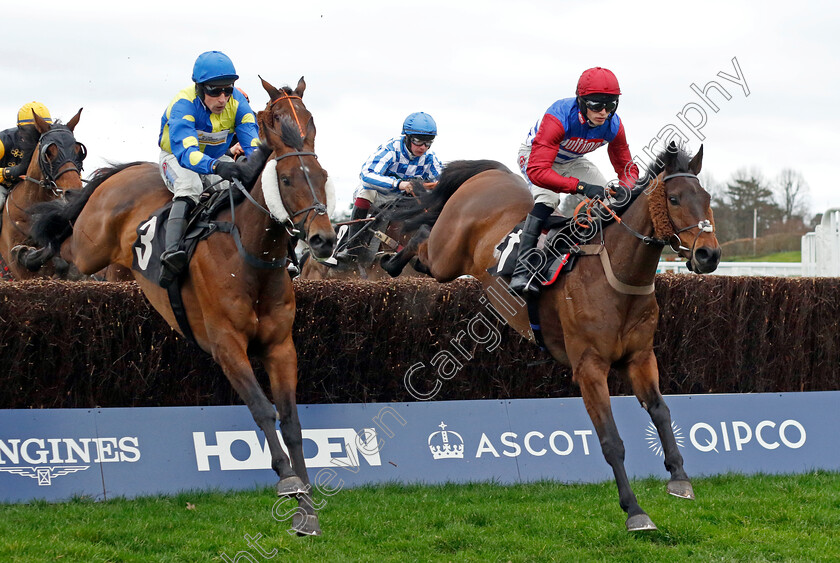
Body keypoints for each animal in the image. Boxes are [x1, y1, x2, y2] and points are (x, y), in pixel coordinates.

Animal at [18, 77, 334, 536]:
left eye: (323, 177)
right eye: (289, 179)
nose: (324, 239)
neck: (251, 253)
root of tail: (126, 171)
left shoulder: (280, 347)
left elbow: (292, 422)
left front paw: (306, 510)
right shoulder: (226, 345)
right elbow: (262, 409)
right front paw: (288, 482)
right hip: (91, 250)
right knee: (63, 238)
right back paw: (30, 253)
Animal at [386, 143, 720, 532]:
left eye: (707, 198)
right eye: (674, 198)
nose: (709, 254)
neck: (617, 276)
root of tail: (493, 173)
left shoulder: (640, 357)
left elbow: (661, 412)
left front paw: (679, 477)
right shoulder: (589, 368)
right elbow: (611, 441)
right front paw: (635, 511)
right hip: (445, 258)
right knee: (423, 235)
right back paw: (391, 262)